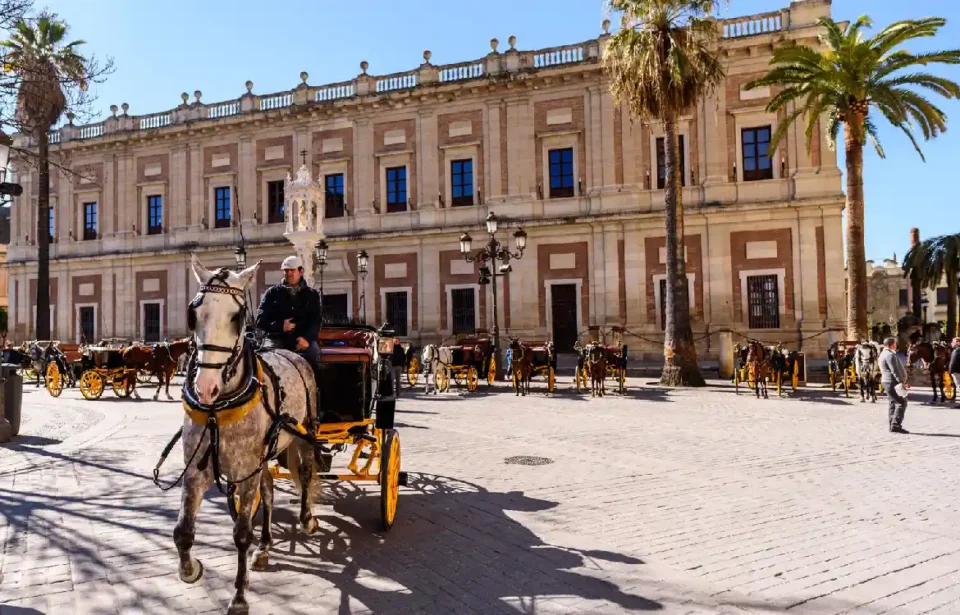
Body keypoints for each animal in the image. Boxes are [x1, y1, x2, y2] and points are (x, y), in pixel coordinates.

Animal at [172, 253, 318, 612]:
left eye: (237, 317)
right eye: (194, 313)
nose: (206, 387)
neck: (218, 409)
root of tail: (291, 352)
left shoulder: (246, 472)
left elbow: (241, 533)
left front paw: (239, 596)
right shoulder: (196, 471)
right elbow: (182, 532)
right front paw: (192, 569)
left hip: (305, 434)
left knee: (307, 474)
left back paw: (307, 519)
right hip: (264, 456)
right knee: (269, 491)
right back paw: (264, 548)